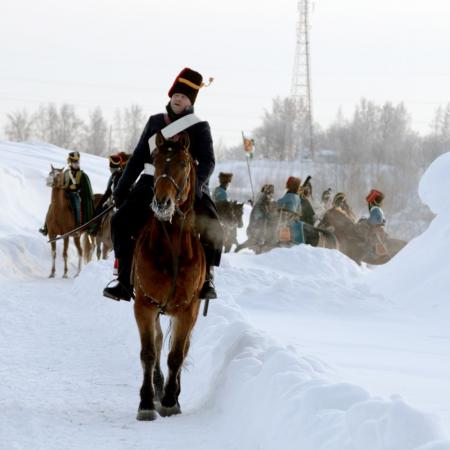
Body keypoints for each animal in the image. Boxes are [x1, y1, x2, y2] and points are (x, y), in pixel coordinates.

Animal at [132, 131, 206, 422]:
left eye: (184, 164)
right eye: (155, 160)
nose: (162, 203)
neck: (172, 246)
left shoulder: (188, 309)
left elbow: (176, 355)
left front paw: (170, 401)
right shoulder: (145, 305)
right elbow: (149, 352)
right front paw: (146, 402)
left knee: (181, 349)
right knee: (158, 340)